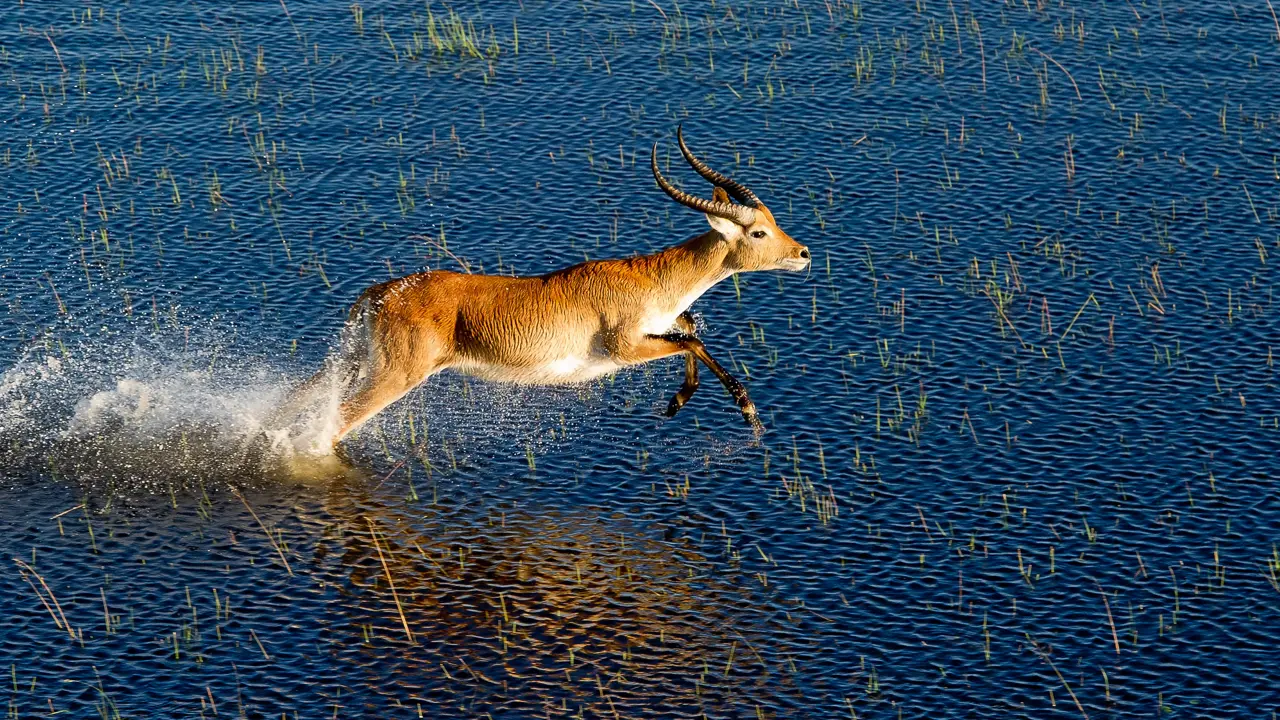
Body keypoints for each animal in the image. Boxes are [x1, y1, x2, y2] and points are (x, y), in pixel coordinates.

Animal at [285, 127, 810, 450]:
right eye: (758, 231)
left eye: (773, 220)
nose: (803, 253)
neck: (650, 278)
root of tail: (377, 293)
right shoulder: (623, 349)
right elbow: (693, 340)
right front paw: (747, 411)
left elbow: (690, 334)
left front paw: (678, 402)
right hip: (392, 377)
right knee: (326, 431)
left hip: (353, 364)